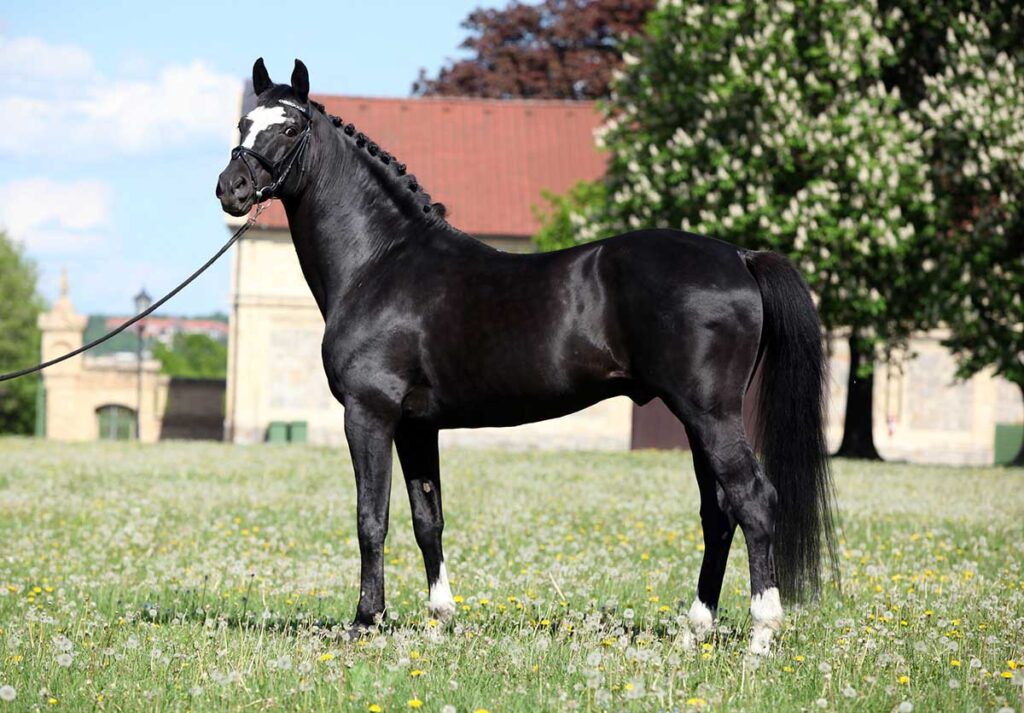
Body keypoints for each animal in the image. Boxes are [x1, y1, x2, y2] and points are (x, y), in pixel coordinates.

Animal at [216, 58, 837, 654]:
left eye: (289, 127)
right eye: (244, 123)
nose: (232, 188)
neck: (381, 261)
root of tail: (741, 256)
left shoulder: (369, 414)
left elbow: (372, 519)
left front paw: (365, 621)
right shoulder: (417, 426)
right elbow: (427, 520)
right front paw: (439, 621)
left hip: (711, 415)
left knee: (752, 500)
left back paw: (761, 635)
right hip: (696, 419)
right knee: (718, 512)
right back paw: (695, 630)